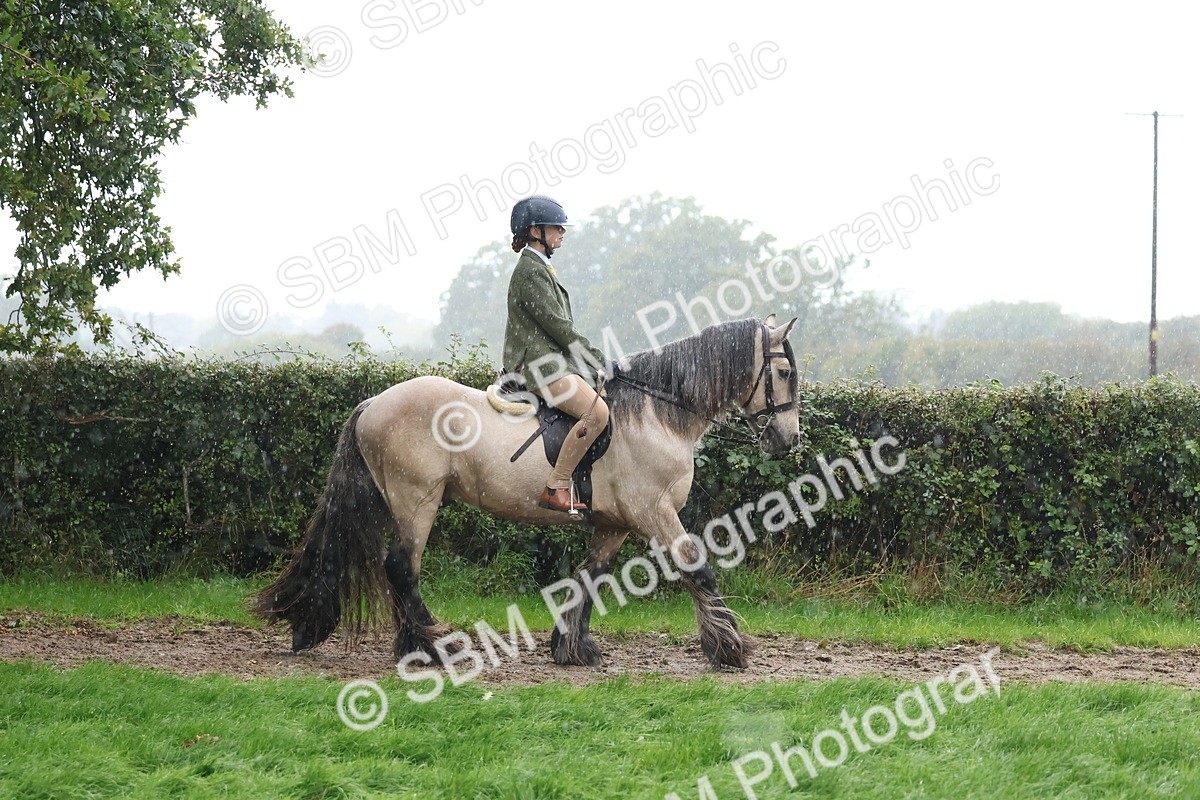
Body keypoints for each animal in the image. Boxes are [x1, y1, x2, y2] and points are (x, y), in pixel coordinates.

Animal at [252, 316, 800, 669]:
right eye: (784, 372)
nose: (787, 440)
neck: (658, 414)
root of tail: (374, 402)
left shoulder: (614, 524)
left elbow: (590, 576)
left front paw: (573, 650)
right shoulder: (654, 513)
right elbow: (697, 568)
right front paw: (729, 649)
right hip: (416, 500)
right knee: (402, 568)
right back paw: (434, 647)